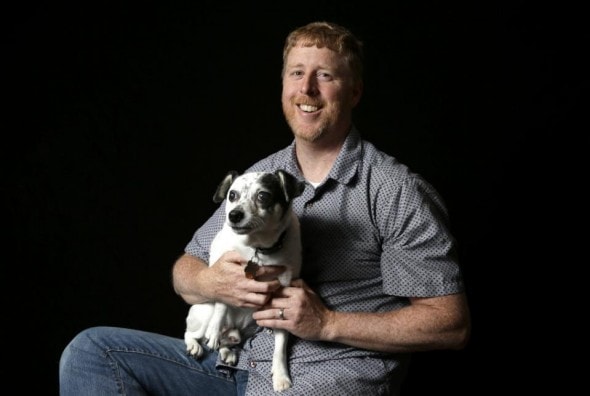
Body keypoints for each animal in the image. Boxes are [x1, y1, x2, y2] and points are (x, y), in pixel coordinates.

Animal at [184, 169, 306, 392]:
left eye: (263, 196)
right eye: (232, 195)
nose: (234, 214)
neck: (258, 248)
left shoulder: (283, 293)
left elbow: (281, 344)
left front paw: (281, 374)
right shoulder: (225, 273)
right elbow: (222, 305)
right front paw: (214, 331)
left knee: (229, 342)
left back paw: (228, 350)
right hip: (203, 313)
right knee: (191, 332)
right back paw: (197, 344)